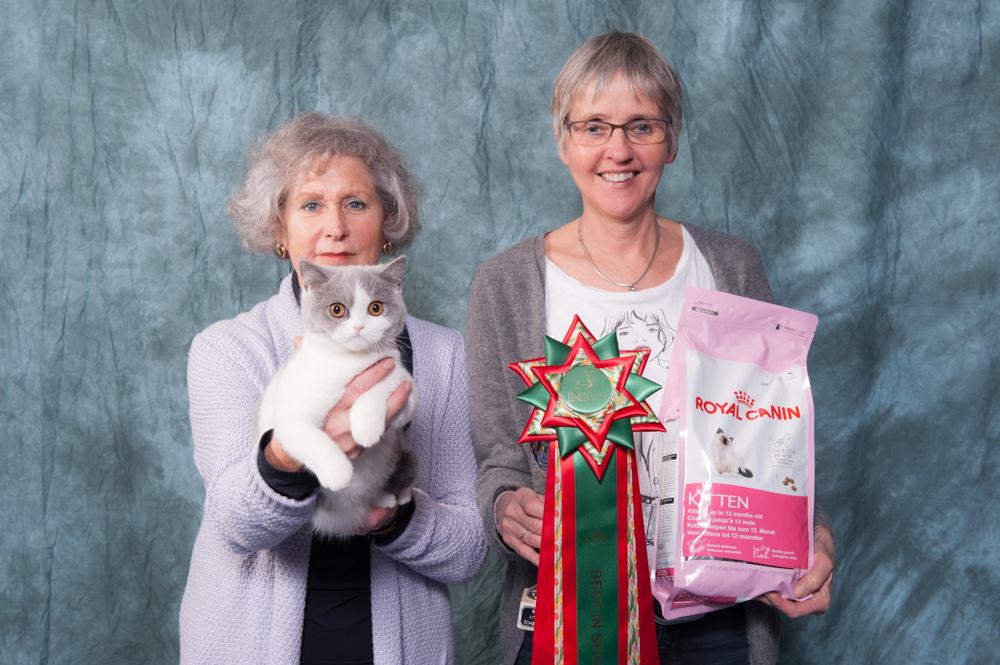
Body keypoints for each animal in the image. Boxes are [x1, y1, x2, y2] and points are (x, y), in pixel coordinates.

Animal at [255, 256, 418, 537]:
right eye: (337, 310)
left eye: (376, 308)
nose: (359, 326)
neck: (348, 363)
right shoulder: (290, 412)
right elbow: (308, 437)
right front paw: (338, 471)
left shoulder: (404, 385)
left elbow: (387, 389)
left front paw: (366, 427)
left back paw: (388, 496)